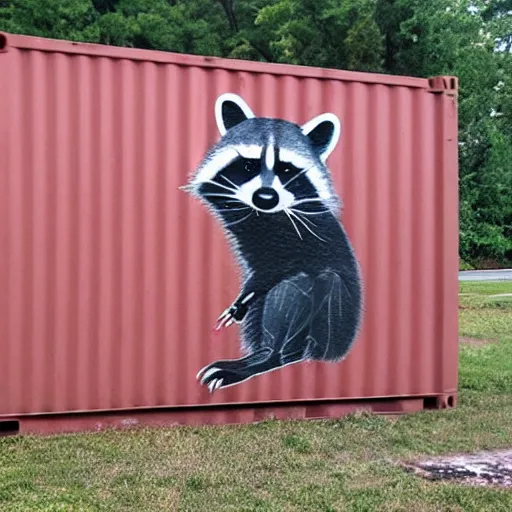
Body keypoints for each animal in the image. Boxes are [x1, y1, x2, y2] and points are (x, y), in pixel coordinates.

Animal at [182, 94, 362, 394]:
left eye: (286, 168)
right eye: (249, 165)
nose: (265, 197)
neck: (263, 216)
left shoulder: (304, 237)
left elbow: (281, 268)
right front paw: (241, 302)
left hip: (334, 324)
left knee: (303, 285)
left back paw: (270, 356)